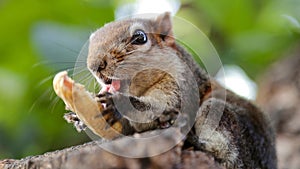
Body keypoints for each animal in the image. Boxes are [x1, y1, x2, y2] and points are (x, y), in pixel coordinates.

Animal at [68, 12, 276, 169]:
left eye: (140, 37)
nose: (95, 65)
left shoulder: (180, 88)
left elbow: (158, 108)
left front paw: (115, 105)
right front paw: (78, 117)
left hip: (222, 115)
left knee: (225, 154)